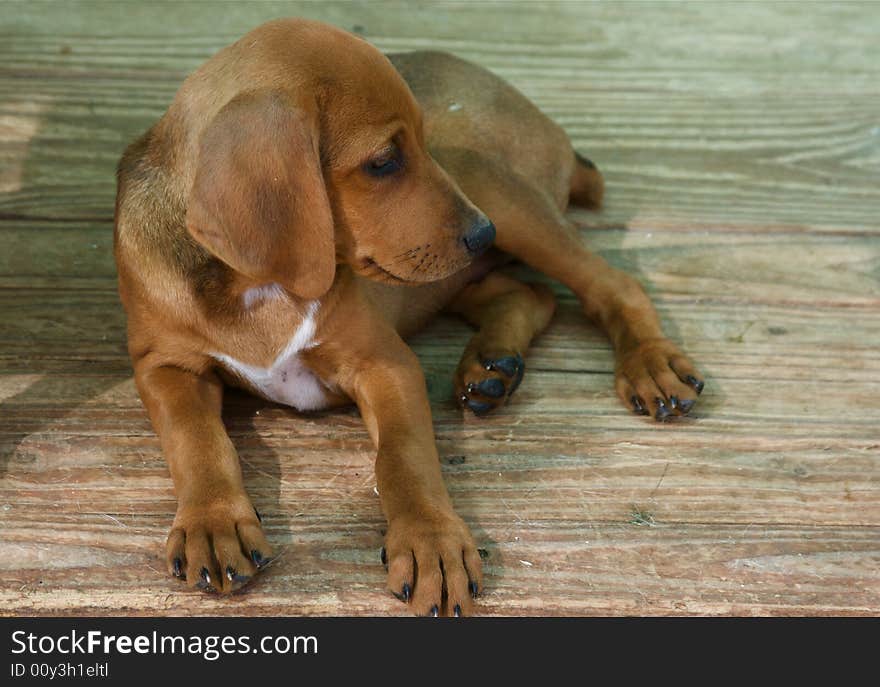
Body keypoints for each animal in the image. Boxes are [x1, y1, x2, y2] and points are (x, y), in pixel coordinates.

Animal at [115, 17, 708, 620]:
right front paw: (213, 522)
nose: (482, 233)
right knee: (531, 293)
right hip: (452, 263)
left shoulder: (385, 362)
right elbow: (195, 440)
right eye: (383, 161)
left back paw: (650, 365)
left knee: (610, 283)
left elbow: (404, 458)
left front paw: (431, 543)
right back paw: (491, 367)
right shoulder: (164, 367)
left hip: (495, 193)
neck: (252, 284)